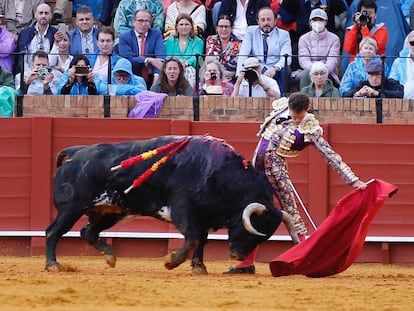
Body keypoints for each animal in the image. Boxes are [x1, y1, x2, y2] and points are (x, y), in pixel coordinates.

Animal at [44, 135, 298, 274]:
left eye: (263, 237)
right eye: (251, 228)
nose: (237, 255)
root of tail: (76, 153)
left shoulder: (204, 217)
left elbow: (201, 240)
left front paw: (199, 267)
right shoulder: (183, 209)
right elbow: (193, 237)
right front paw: (171, 262)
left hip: (109, 211)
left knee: (87, 232)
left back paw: (110, 256)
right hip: (71, 208)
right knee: (53, 232)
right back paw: (53, 264)